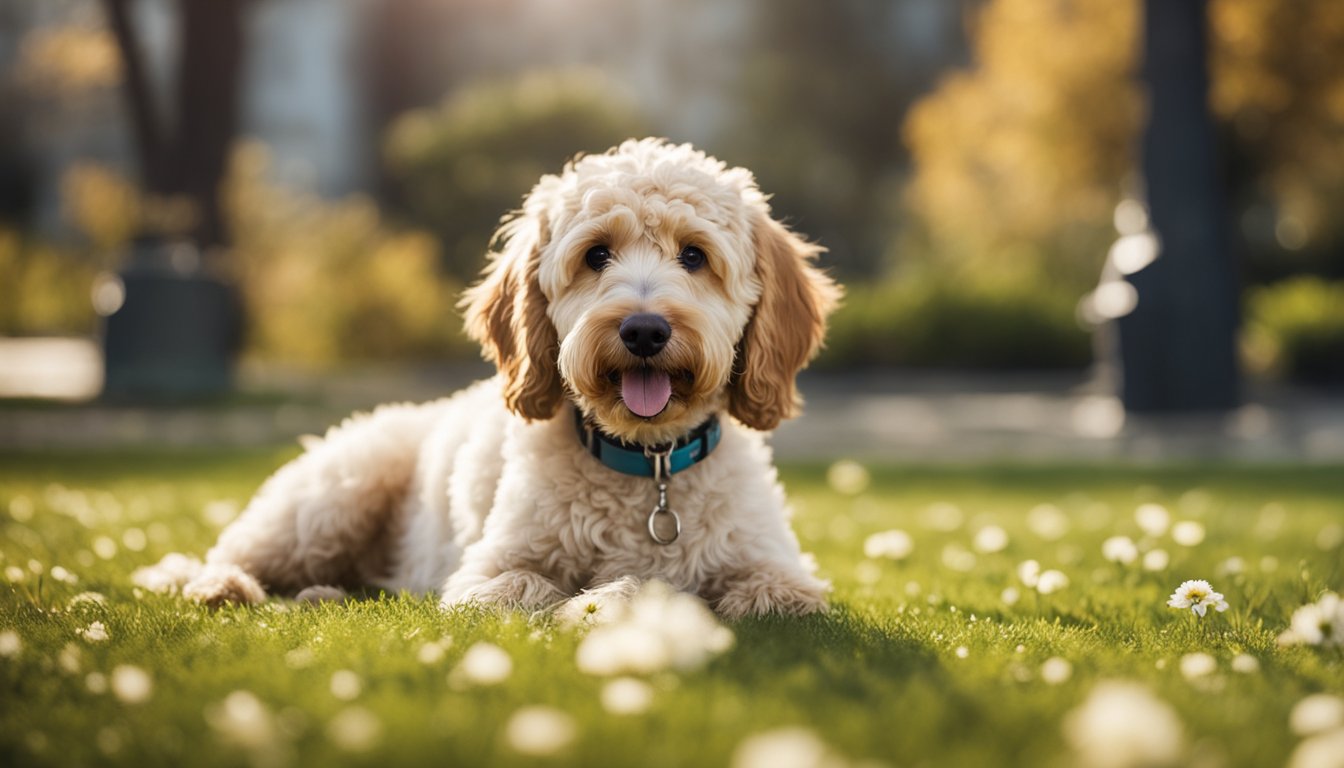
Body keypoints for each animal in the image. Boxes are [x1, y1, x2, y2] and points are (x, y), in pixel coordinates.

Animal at [136, 138, 838, 618]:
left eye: (694, 255)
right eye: (596, 255)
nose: (643, 331)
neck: (649, 468)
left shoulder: (782, 574)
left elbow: (773, 595)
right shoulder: (486, 576)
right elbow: (538, 588)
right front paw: (620, 596)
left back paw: (323, 593)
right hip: (331, 499)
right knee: (236, 553)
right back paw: (220, 585)